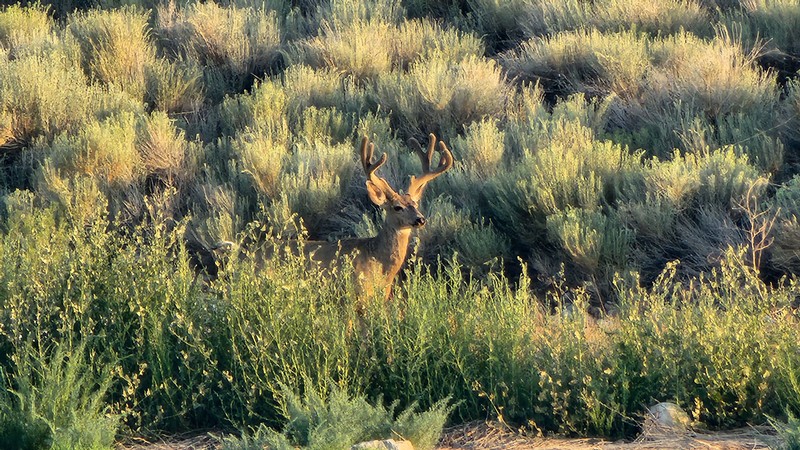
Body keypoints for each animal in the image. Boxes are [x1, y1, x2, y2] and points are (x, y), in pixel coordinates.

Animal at [191, 134, 454, 301]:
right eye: (397, 207)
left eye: (415, 203)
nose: (420, 219)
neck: (378, 263)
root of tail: (242, 254)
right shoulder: (354, 296)